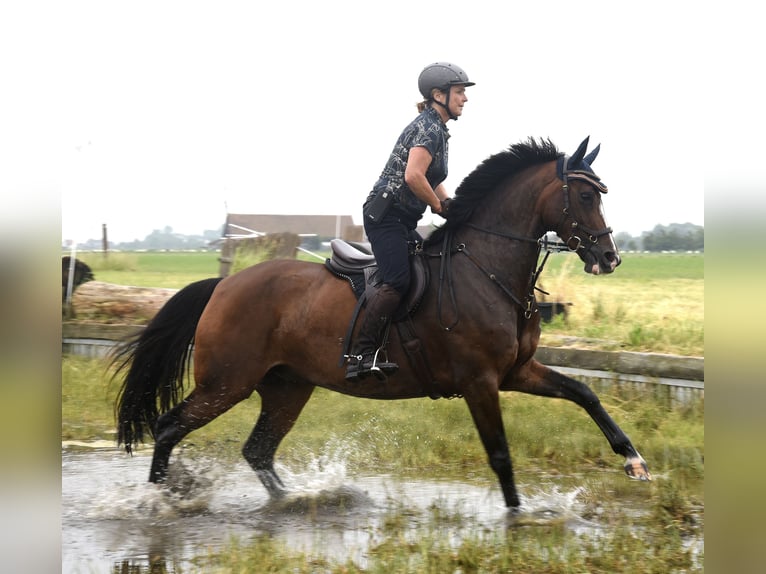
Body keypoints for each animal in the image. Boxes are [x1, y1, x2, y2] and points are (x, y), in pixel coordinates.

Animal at [112, 136, 651, 509]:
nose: (610, 258)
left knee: (258, 451)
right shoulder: (480, 382)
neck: (487, 267)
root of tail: (222, 286)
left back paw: (291, 500)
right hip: (227, 383)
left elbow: (584, 393)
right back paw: (160, 500)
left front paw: (634, 460)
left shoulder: (517, 372)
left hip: (287, 387)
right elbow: (500, 454)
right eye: (585, 196)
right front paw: (518, 516)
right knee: (168, 428)